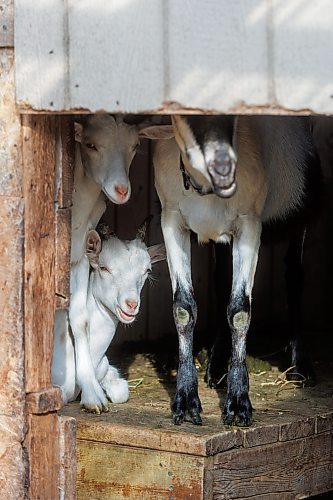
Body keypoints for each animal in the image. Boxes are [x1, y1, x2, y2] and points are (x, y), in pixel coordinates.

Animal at [150, 116, 320, 426]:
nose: (220, 167)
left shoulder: (249, 223)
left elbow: (240, 310)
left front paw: (239, 404)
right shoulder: (172, 219)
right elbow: (183, 308)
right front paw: (186, 401)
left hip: (300, 208)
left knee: (294, 274)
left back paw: (300, 365)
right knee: (220, 279)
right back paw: (216, 365)